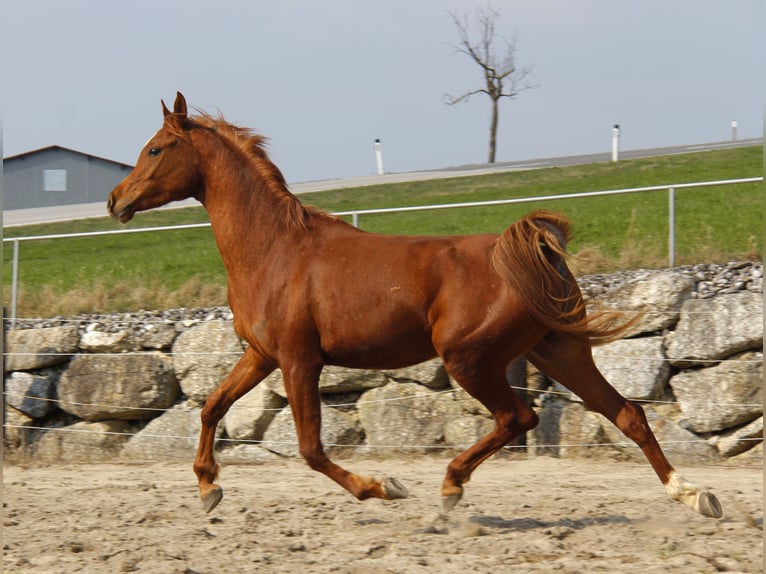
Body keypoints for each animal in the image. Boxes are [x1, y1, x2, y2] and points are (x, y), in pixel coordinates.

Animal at [108, 92, 722, 519]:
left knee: (518, 417)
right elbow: (211, 407)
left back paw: (450, 488)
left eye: (155, 148)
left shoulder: (300, 360)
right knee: (628, 413)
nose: (115, 200)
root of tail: (530, 251)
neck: (275, 249)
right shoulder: (261, 355)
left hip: (469, 358)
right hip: (557, 351)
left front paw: (383, 487)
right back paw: (695, 496)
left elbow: (309, 448)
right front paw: (208, 488)